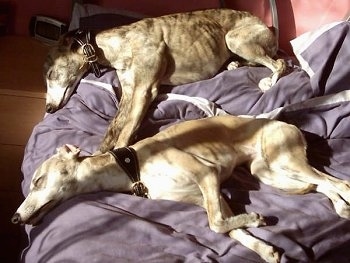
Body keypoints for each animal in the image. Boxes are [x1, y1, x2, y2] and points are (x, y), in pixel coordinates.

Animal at [11, 116, 350, 262]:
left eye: (38, 181)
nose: (15, 219)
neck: (132, 164)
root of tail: (289, 124)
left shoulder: (207, 174)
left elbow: (216, 225)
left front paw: (256, 219)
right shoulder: (211, 195)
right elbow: (229, 228)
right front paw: (264, 247)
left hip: (284, 160)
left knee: (338, 182)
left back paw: (344, 205)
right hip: (269, 171)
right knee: (322, 184)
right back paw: (339, 206)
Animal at [43, 9, 286, 153]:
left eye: (51, 74)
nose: (48, 108)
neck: (118, 43)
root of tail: (264, 24)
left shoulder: (144, 90)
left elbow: (125, 132)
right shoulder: (129, 92)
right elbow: (113, 128)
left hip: (235, 39)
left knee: (280, 63)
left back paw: (269, 81)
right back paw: (233, 64)